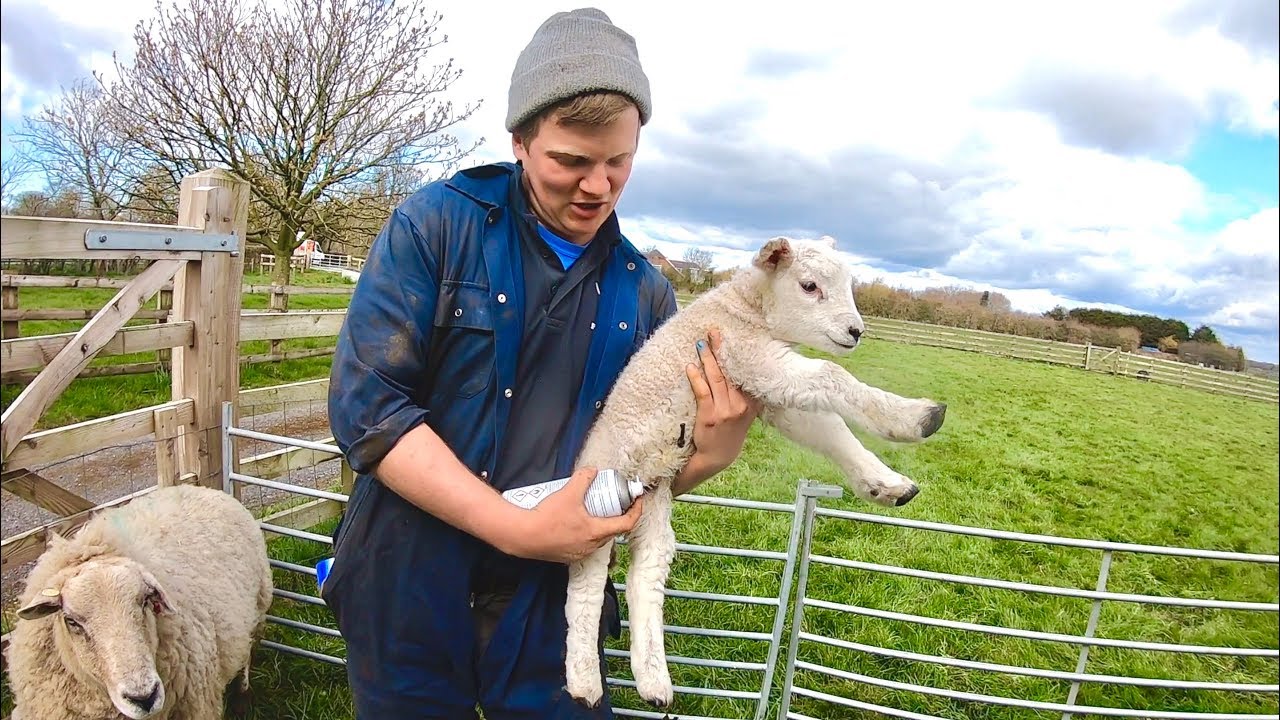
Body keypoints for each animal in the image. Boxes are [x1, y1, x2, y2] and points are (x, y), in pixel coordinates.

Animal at [5, 483, 273, 720]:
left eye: (145, 601)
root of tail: (201, 488)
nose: (144, 697)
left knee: (247, 652)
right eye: (71, 621)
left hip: (259, 606)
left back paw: (242, 696)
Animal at [564, 235, 947, 708]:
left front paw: (887, 484)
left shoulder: (767, 391)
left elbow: (830, 429)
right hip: (595, 512)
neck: (747, 310)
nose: (856, 332)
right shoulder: (753, 359)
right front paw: (918, 417)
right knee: (584, 591)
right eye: (809, 285)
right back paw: (585, 683)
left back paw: (654, 682)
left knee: (645, 578)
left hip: (653, 503)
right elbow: (832, 376)